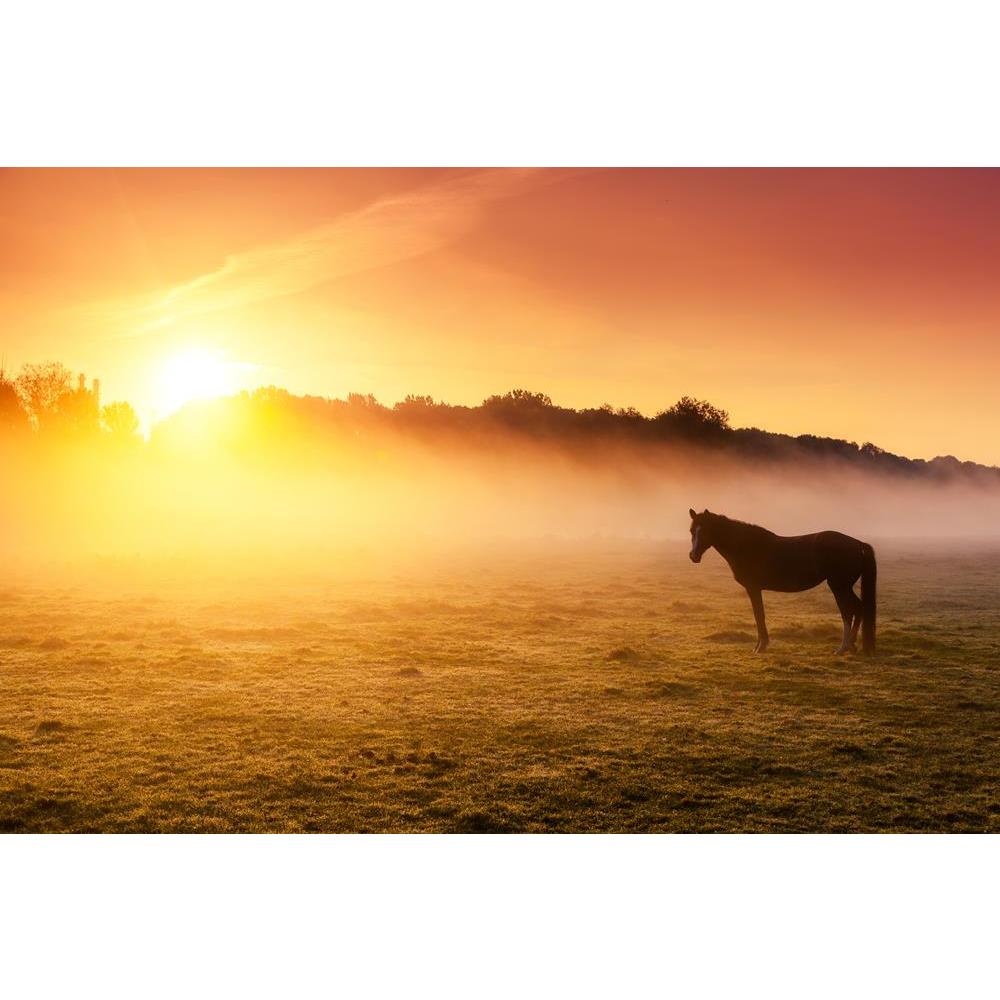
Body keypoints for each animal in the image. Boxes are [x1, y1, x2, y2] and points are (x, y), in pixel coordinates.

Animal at [687, 508, 877, 655]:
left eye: (704, 530)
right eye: (691, 531)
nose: (693, 556)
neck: (747, 546)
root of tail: (857, 543)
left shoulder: (753, 588)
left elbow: (759, 614)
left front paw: (760, 647)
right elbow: (759, 614)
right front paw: (760, 645)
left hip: (839, 586)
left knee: (848, 612)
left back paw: (843, 648)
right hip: (844, 587)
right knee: (858, 608)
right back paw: (852, 645)